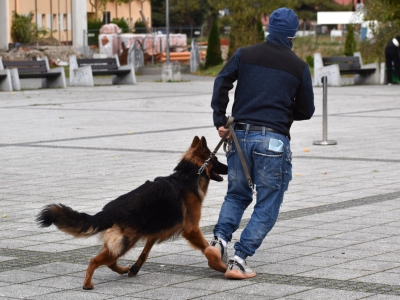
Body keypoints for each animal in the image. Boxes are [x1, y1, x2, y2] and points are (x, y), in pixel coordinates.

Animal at [36, 137, 228, 290]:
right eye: (216, 159)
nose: (228, 167)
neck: (188, 175)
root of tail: (108, 211)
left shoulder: (155, 230)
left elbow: (145, 251)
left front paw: (136, 268)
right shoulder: (191, 229)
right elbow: (207, 247)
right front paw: (221, 265)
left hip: (122, 243)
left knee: (110, 261)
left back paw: (122, 269)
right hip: (126, 242)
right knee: (94, 261)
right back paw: (88, 284)